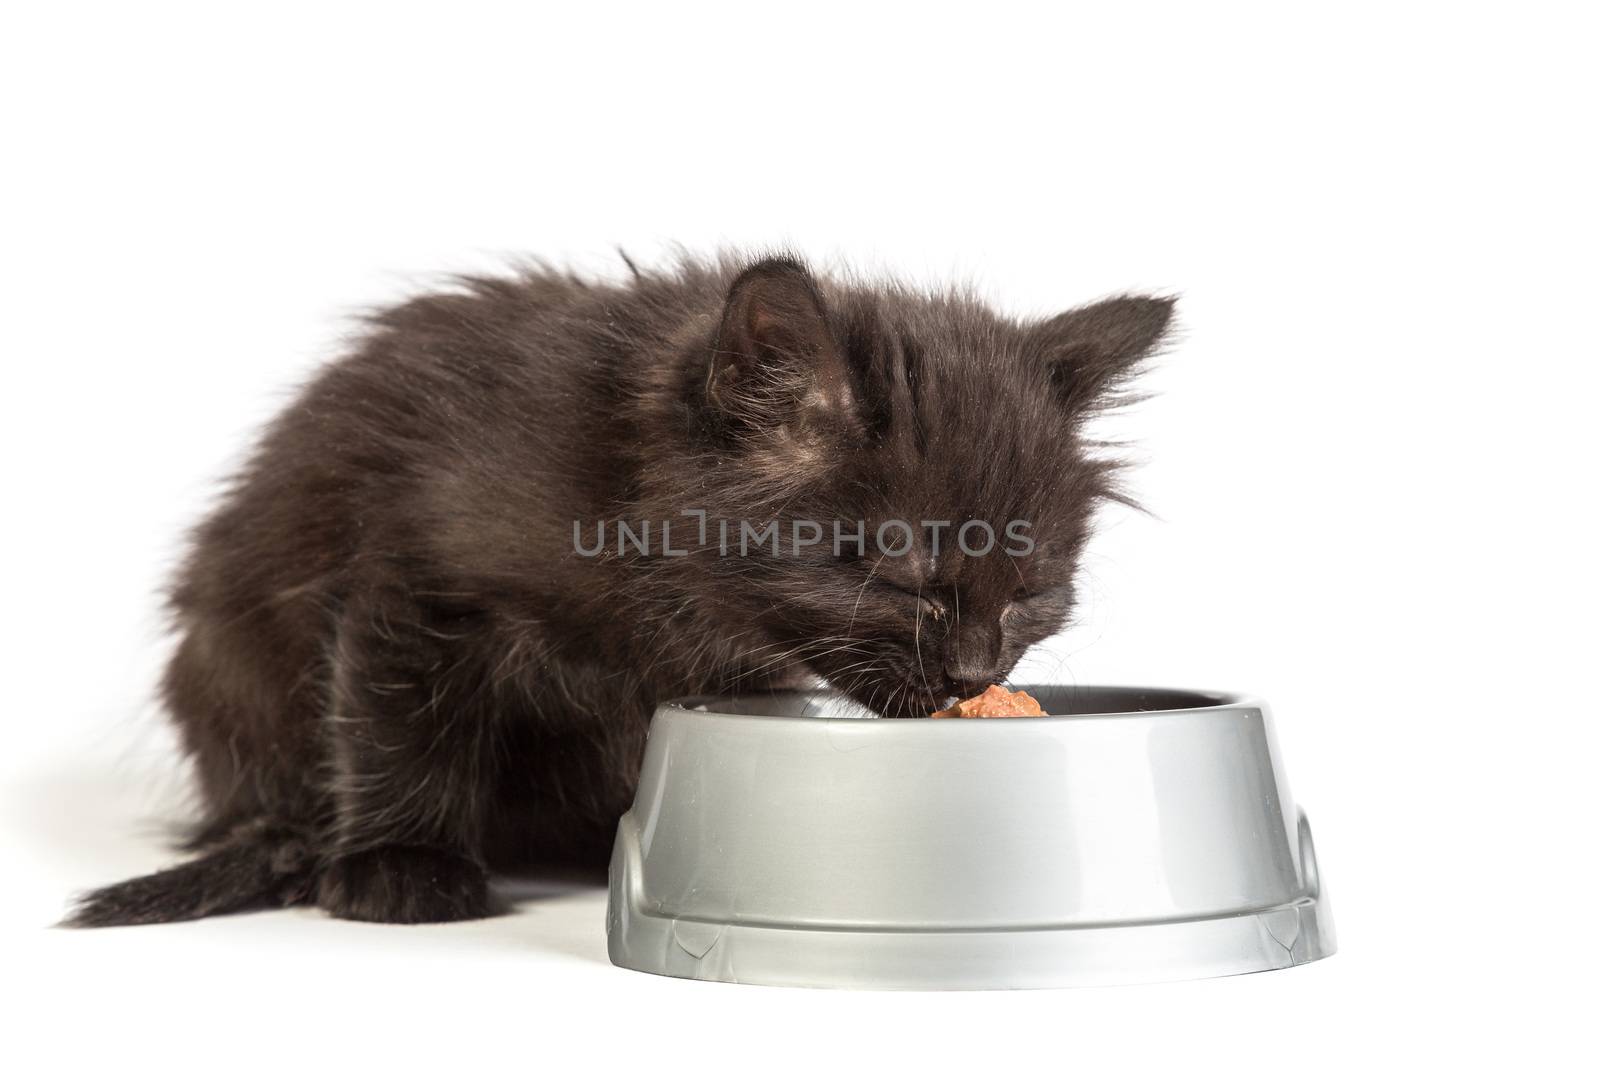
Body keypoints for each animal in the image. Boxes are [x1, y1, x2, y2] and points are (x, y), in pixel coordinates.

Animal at [65, 252, 1177, 927]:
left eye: (1033, 590)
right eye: (901, 576)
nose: (972, 672)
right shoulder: (416, 578)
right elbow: (397, 723)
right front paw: (401, 864)